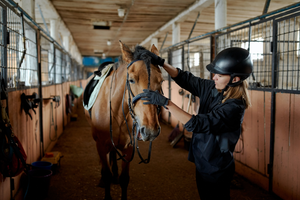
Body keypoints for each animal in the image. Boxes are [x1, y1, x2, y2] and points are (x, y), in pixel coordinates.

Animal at [84, 41, 163, 200]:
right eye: (131, 80)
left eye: (161, 81)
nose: (150, 130)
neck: (117, 112)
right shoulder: (100, 145)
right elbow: (106, 174)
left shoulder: (129, 147)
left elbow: (124, 179)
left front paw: (117, 177)